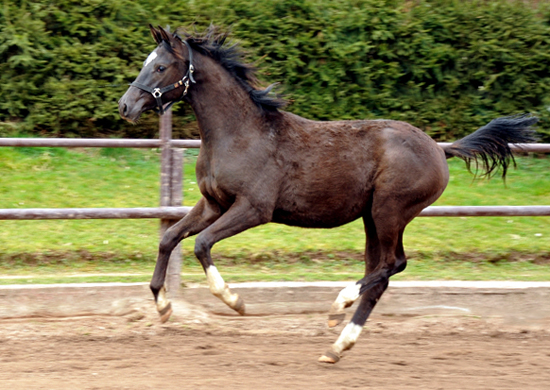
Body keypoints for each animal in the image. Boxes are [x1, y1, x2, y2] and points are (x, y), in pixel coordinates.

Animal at [121, 25, 540, 364]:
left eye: (161, 67)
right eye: (148, 62)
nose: (126, 106)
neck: (239, 134)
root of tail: (441, 149)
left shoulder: (254, 209)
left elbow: (201, 244)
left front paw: (234, 302)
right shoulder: (213, 203)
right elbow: (170, 238)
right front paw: (162, 307)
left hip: (390, 211)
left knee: (394, 264)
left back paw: (340, 304)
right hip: (372, 218)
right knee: (379, 274)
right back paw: (337, 347)